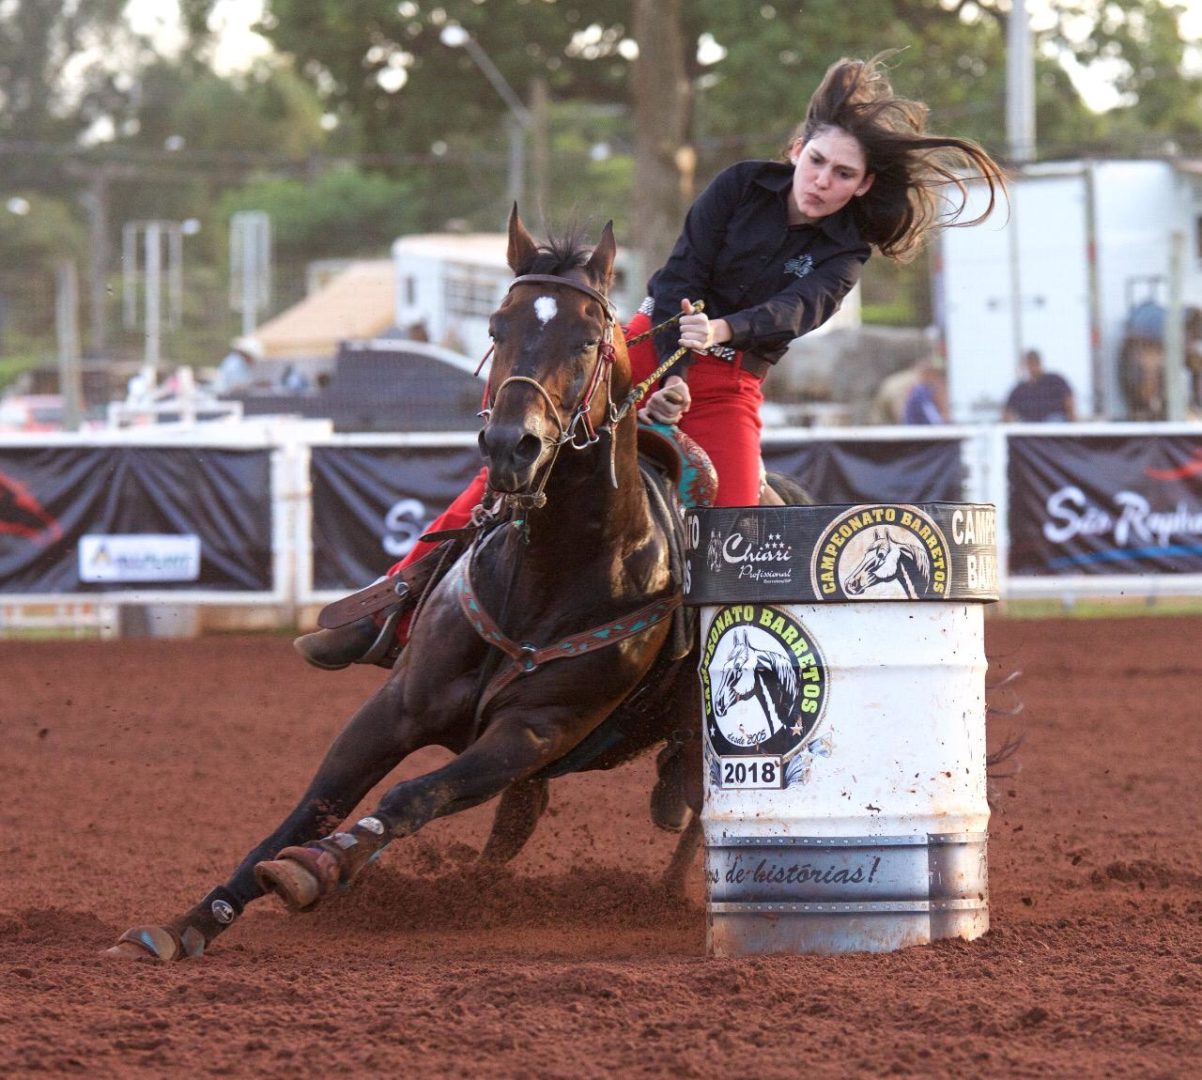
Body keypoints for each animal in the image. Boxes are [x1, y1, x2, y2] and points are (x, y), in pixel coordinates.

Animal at [103, 211, 711, 961]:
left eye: (588, 338)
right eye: (496, 327)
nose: (510, 446)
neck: (546, 576)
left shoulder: (533, 732)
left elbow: (410, 798)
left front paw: (322, 866)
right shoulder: (397, 707)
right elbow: (310, 809)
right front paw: (189, 923)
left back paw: (671, 898)